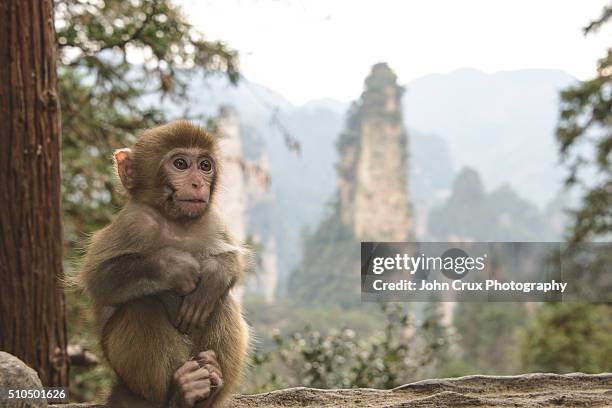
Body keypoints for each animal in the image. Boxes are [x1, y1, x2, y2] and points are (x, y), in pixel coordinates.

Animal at [78, 119, 249, 406]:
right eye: (180, 164)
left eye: (205, 165)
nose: (197, 184)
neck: (176, 222)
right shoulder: (132, 222)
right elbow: (99, 278)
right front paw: (177, 266)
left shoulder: (213, 220)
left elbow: (233, 260)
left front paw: (212, 277)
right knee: (142, 305)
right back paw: (181, 392)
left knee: (221, 300)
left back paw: (210, 385)